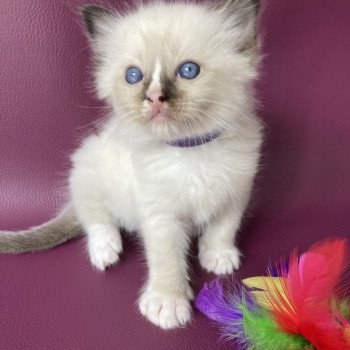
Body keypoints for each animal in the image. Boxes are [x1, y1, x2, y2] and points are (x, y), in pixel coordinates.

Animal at [0, 0, 262, 328]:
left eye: (188, 70)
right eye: (134, 76)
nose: (154, 97)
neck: (190, 150)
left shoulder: (235, 194)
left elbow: (223, 229)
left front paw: (218, 256)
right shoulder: (161, 216)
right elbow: (166, 260)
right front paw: (167, 303)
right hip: (89, 166)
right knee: (94, 218)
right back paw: (105, 250)